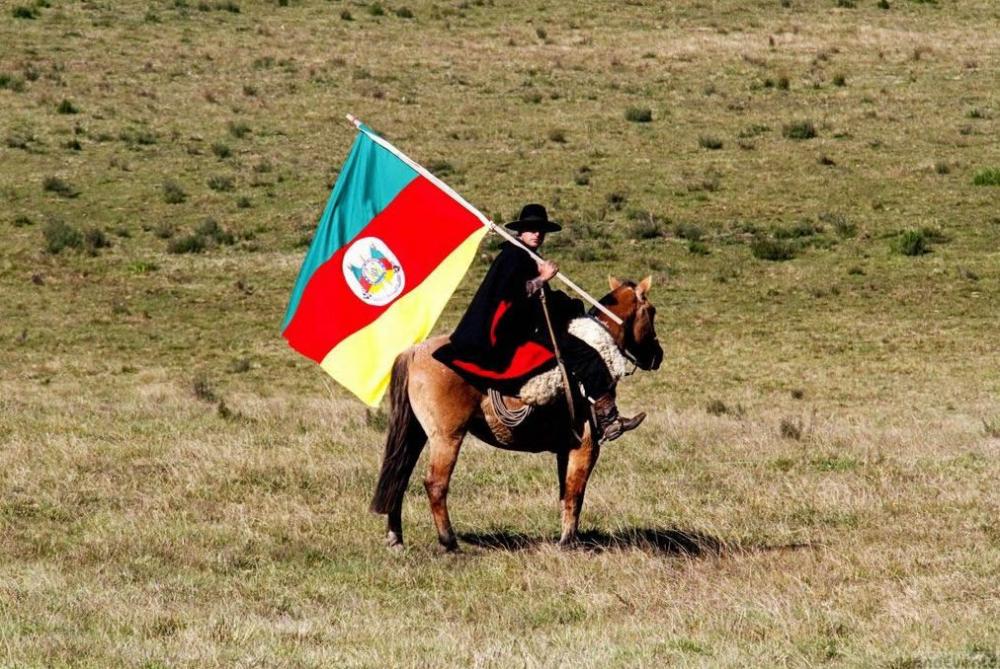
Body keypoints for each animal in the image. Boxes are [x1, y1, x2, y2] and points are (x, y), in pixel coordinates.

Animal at [369, 275, 663, 551]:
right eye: (651, 311)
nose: (657, 356)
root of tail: (414, 350)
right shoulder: (587, 448)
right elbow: (575, 493)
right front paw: (568, 542)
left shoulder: (566, 449)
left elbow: (565, 493)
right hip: (446, 437)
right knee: (435, 484)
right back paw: (449, 542)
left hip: (416, 433)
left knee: (398, 478)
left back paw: (395, 538)